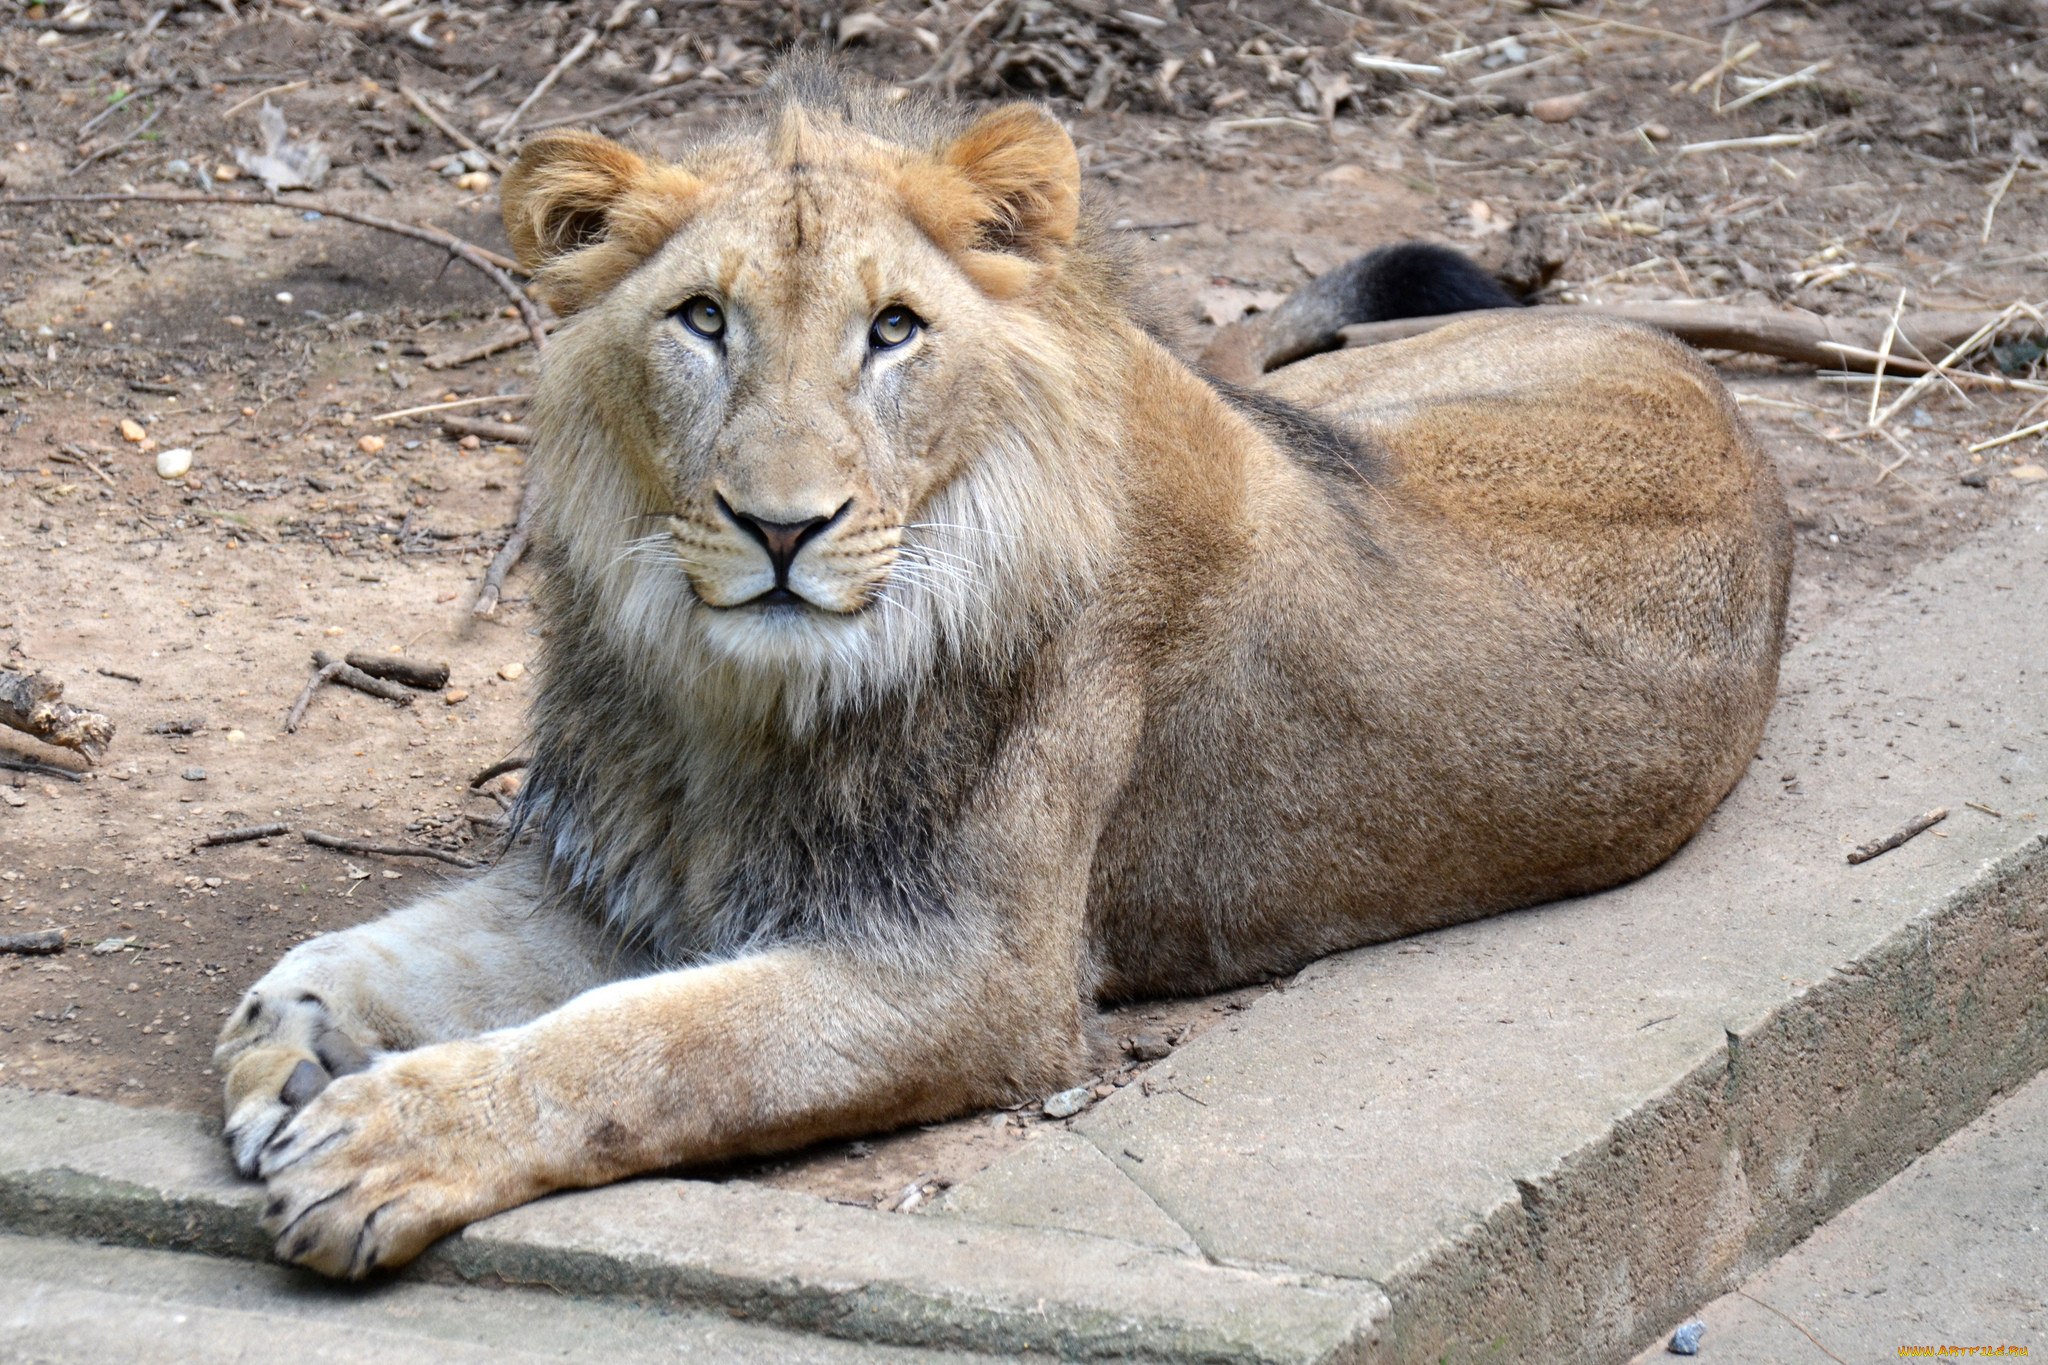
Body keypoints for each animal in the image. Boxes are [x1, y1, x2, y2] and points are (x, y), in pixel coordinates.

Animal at [216, 58, 1794, 1285]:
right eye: (703, 320)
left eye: (893, 330)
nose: (781, 527)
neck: (729, 700)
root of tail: (1675, 358)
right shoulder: (618, 873)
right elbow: (393, 951)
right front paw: (284, 1045)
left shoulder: (970, 974)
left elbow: (648, 1047)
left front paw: (386, 1139)